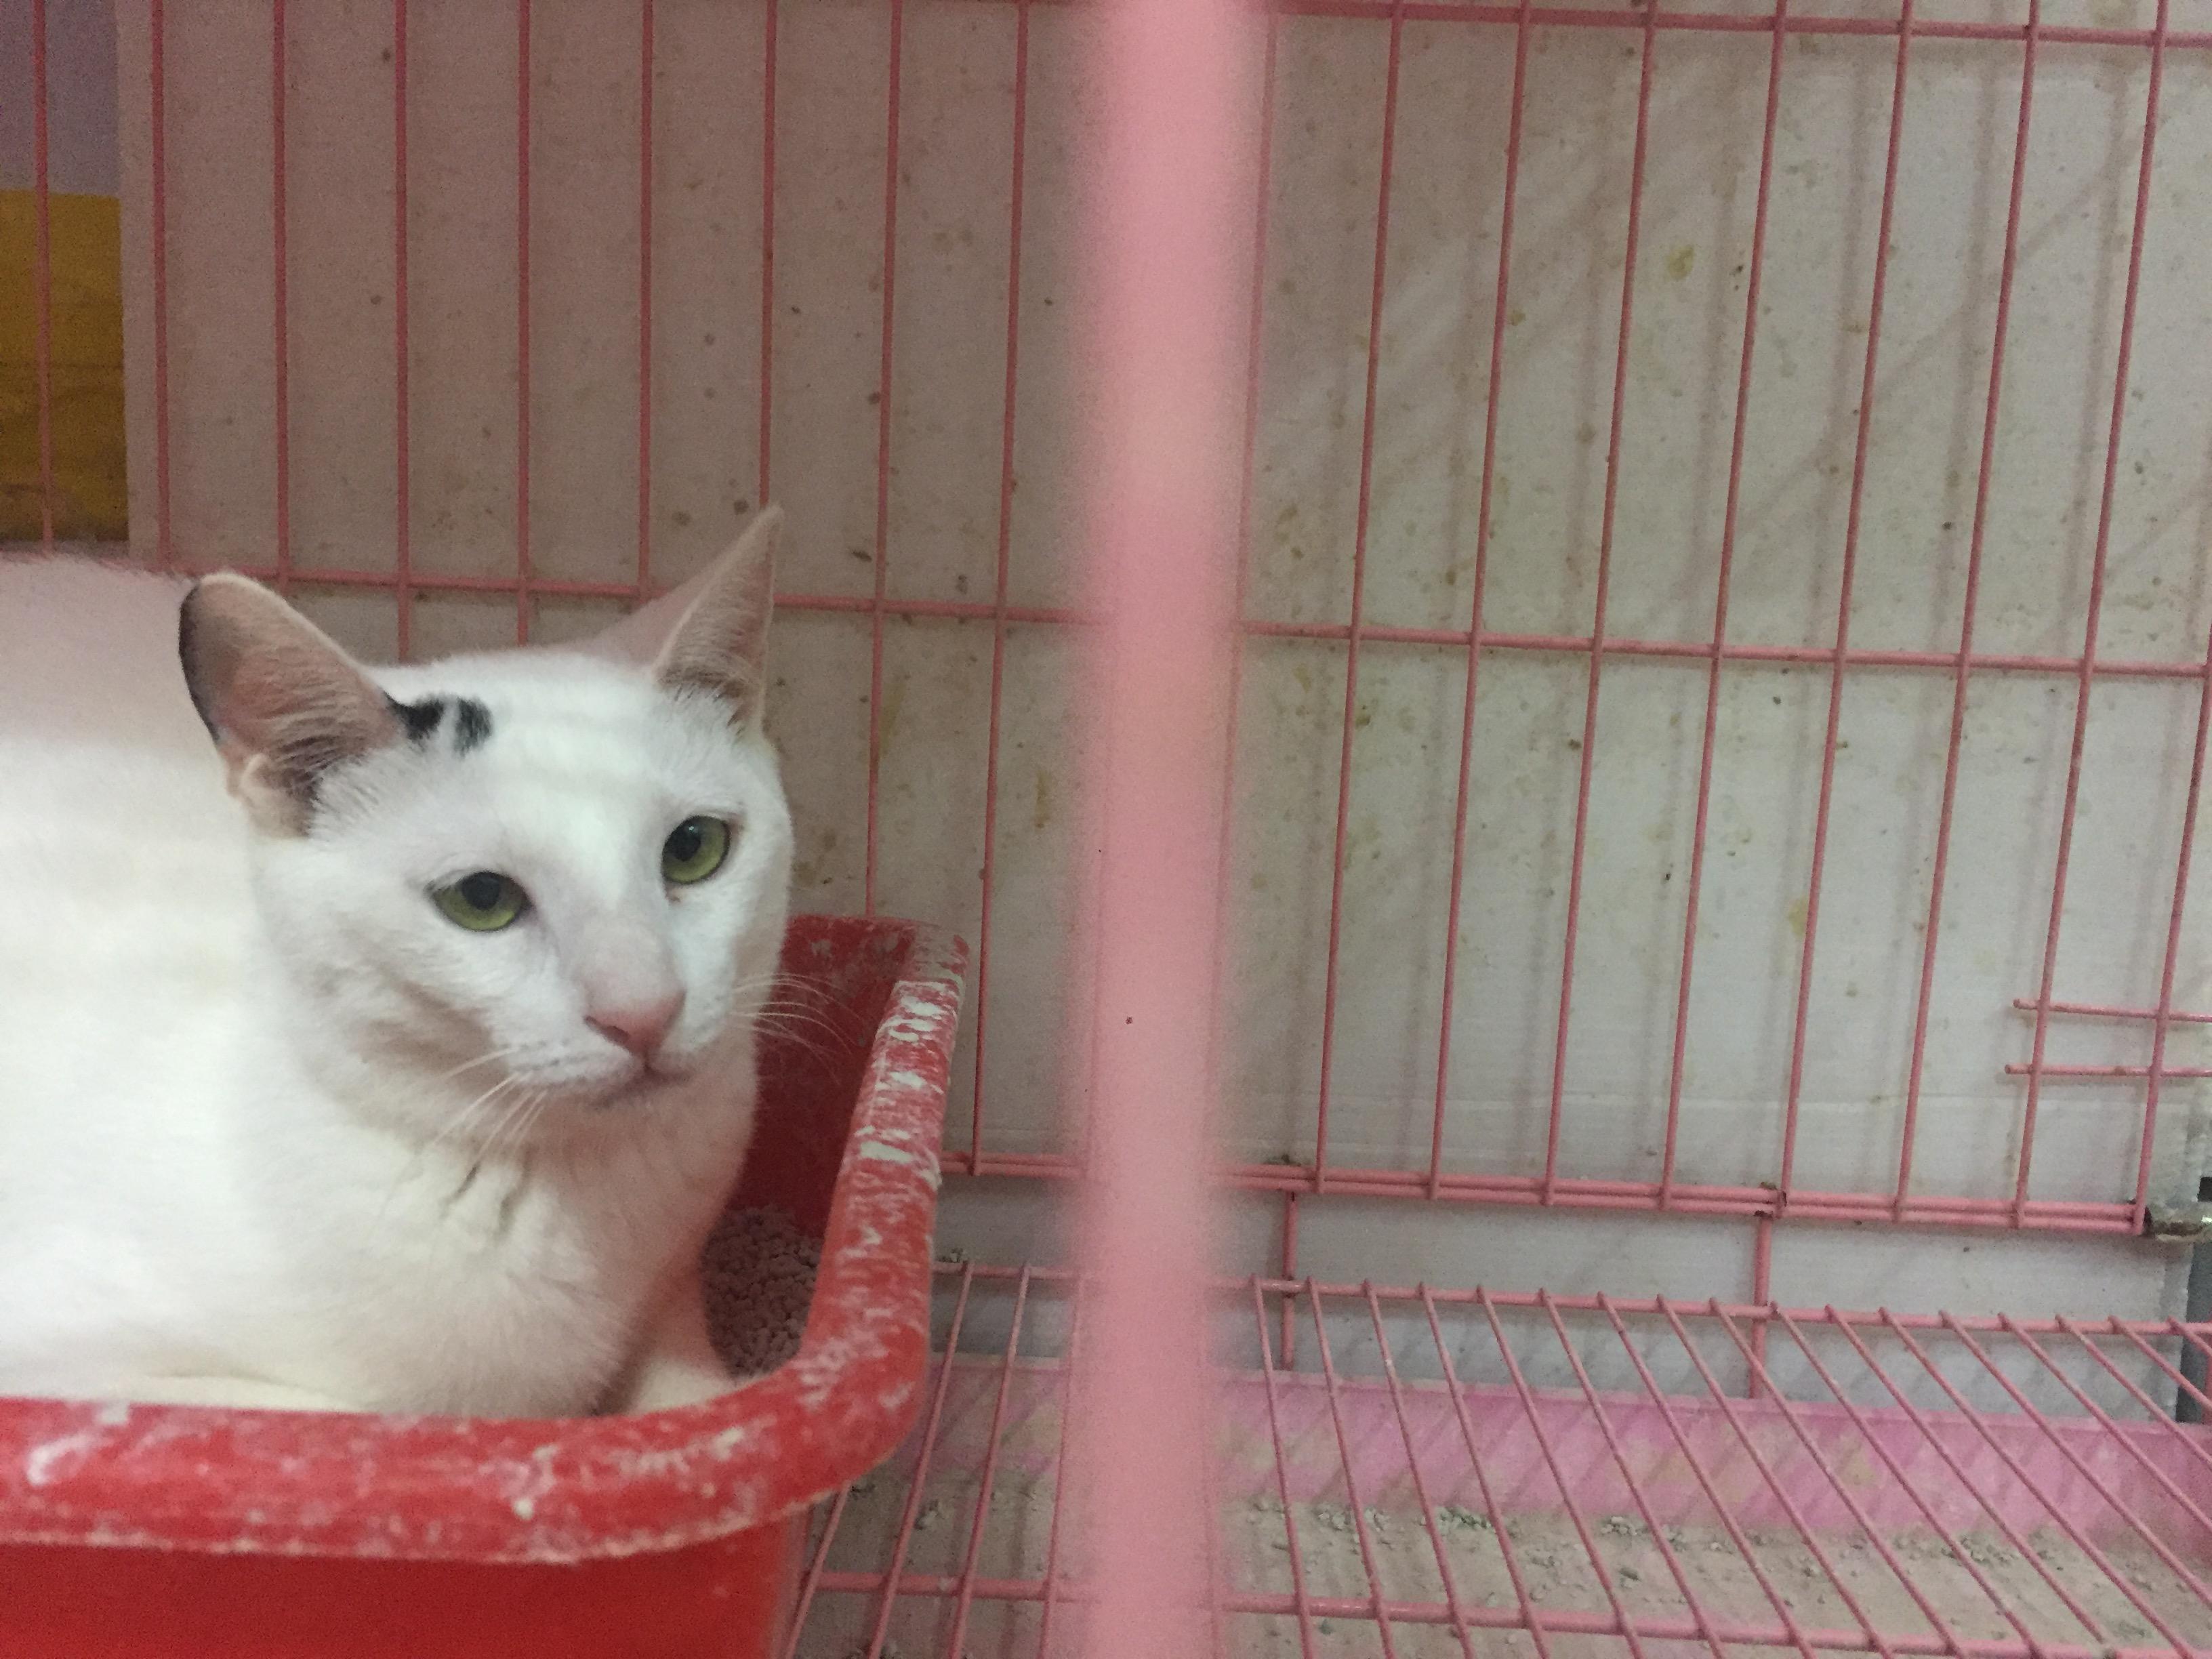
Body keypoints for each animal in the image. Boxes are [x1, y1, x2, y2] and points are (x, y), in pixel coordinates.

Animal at [0, 508, 793, 1417]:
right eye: (481, 899)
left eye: (694, 848)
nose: (644, 1010)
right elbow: (383, 1419)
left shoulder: (674, 1285)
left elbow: (695, 1401)